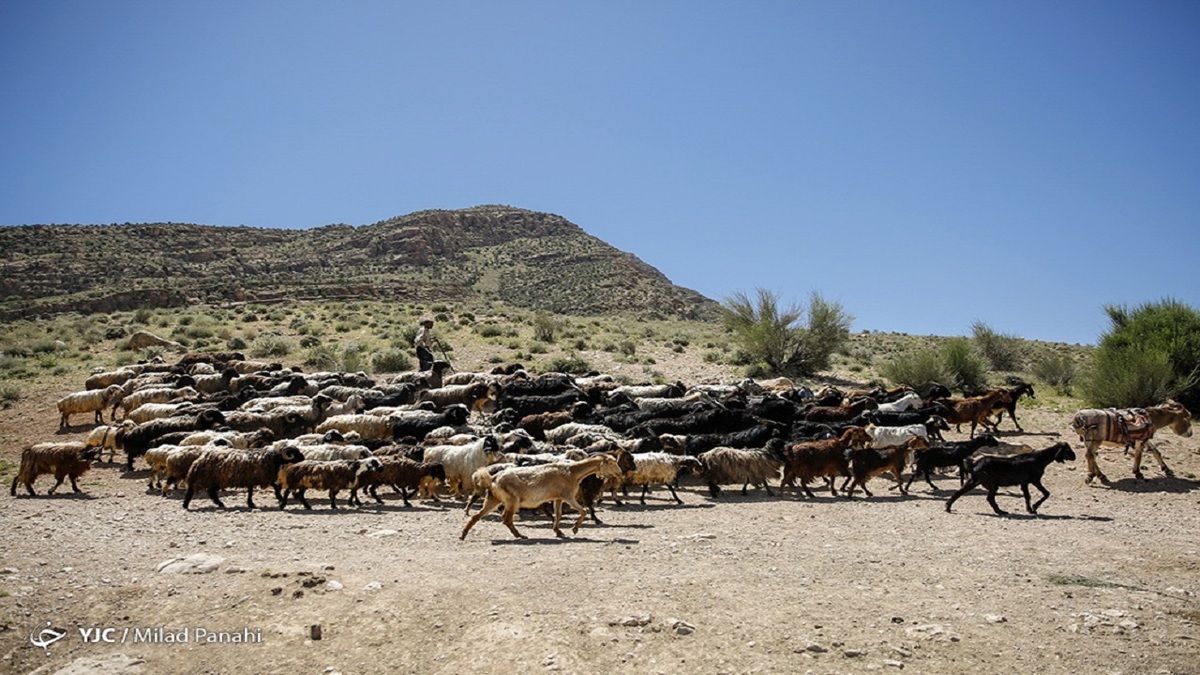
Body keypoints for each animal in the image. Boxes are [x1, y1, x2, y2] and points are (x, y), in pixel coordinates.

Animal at [945, 441, 1080, 514]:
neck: (1040, 458)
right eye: (1067, 449)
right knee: (990, 498)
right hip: (992, 483)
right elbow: (1046, 493)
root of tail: (974, 464)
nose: (1074, 456)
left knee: (959, 492)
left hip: (975, 480)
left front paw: (1030, 509)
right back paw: (1000, 512)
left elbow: (1027, 496)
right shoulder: (1035, 480)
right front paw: (1034, 507)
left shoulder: (1024, 482)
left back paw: (948, 507)